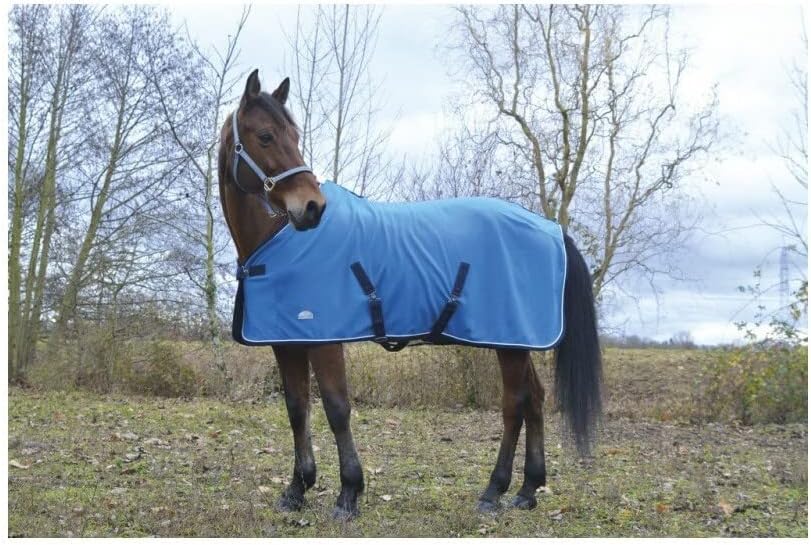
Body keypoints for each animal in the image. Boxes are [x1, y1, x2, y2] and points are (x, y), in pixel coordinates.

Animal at [217, 69, 602, 520]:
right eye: (265, 136)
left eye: (293, 136)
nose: (312, 208)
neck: (278, 239)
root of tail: (552, 230)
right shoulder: (287, 341)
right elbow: (297, 409)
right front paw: (297, 490)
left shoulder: (324, 340)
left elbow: (336, 408)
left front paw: (349, 494)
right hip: (517, 342)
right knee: (536, 400)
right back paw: (527, 491)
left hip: (510, 343)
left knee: (514, 405)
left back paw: (493, 491)